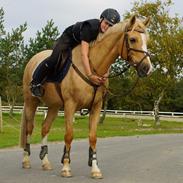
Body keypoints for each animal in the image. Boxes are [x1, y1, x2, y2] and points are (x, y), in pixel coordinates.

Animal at [20, 15, 152, 179]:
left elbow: (93, 137)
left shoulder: (96, 107)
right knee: (29, 129)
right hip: (31, 101)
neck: (91, 66)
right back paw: (26, 160)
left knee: (45, 128)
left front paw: (95, 169)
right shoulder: (70, 105)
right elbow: (69, 135)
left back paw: (45, 162)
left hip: (54, 106)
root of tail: (33, 59)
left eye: (147, 40)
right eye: (133, 39)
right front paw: (66, 167)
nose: (147, 68)